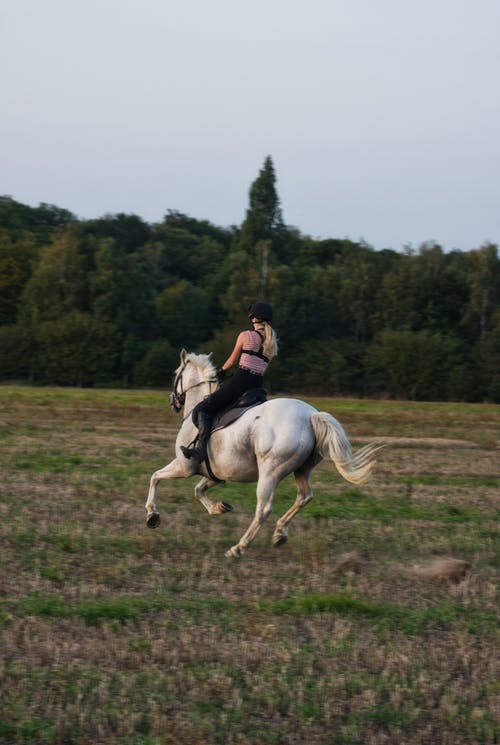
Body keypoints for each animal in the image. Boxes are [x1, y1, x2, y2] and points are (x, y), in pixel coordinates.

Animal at [145, 352, 382, 556]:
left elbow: (155, 477)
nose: (172, 401)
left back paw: (238, 547)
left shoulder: (184, 466)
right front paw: (219, 508)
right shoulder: (217, 473)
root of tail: (310, 415)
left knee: (264, 509)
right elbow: (198, 490)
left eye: (176, 373)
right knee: (304, 496)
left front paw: (152, 515)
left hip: (270, 472)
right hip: (302, 469)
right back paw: (279, 534)